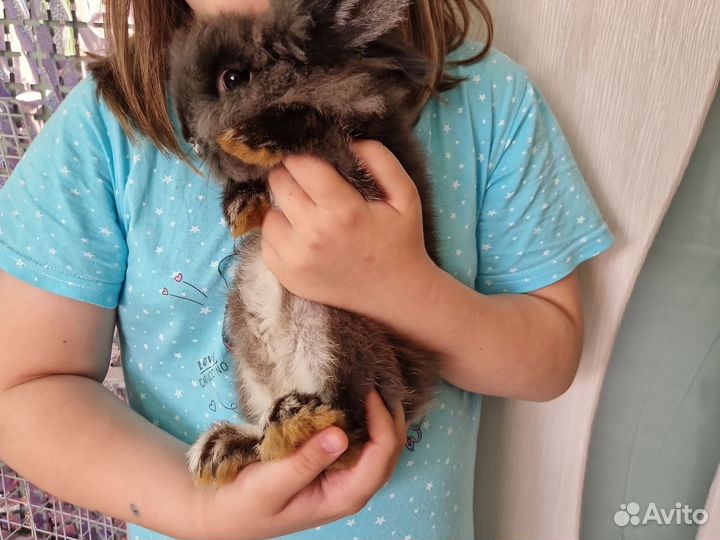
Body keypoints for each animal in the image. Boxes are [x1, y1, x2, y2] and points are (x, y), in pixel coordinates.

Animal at [169, 0, 444, 486]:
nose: (192, 138)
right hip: (248, 362)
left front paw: (253, 138)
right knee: (266, 444)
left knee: (349, 429)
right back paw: (226, 448)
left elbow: (317, 129)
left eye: (233, 78)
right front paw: (240, 207)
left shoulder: (360, 172)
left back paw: (295, 419)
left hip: (336, 332)